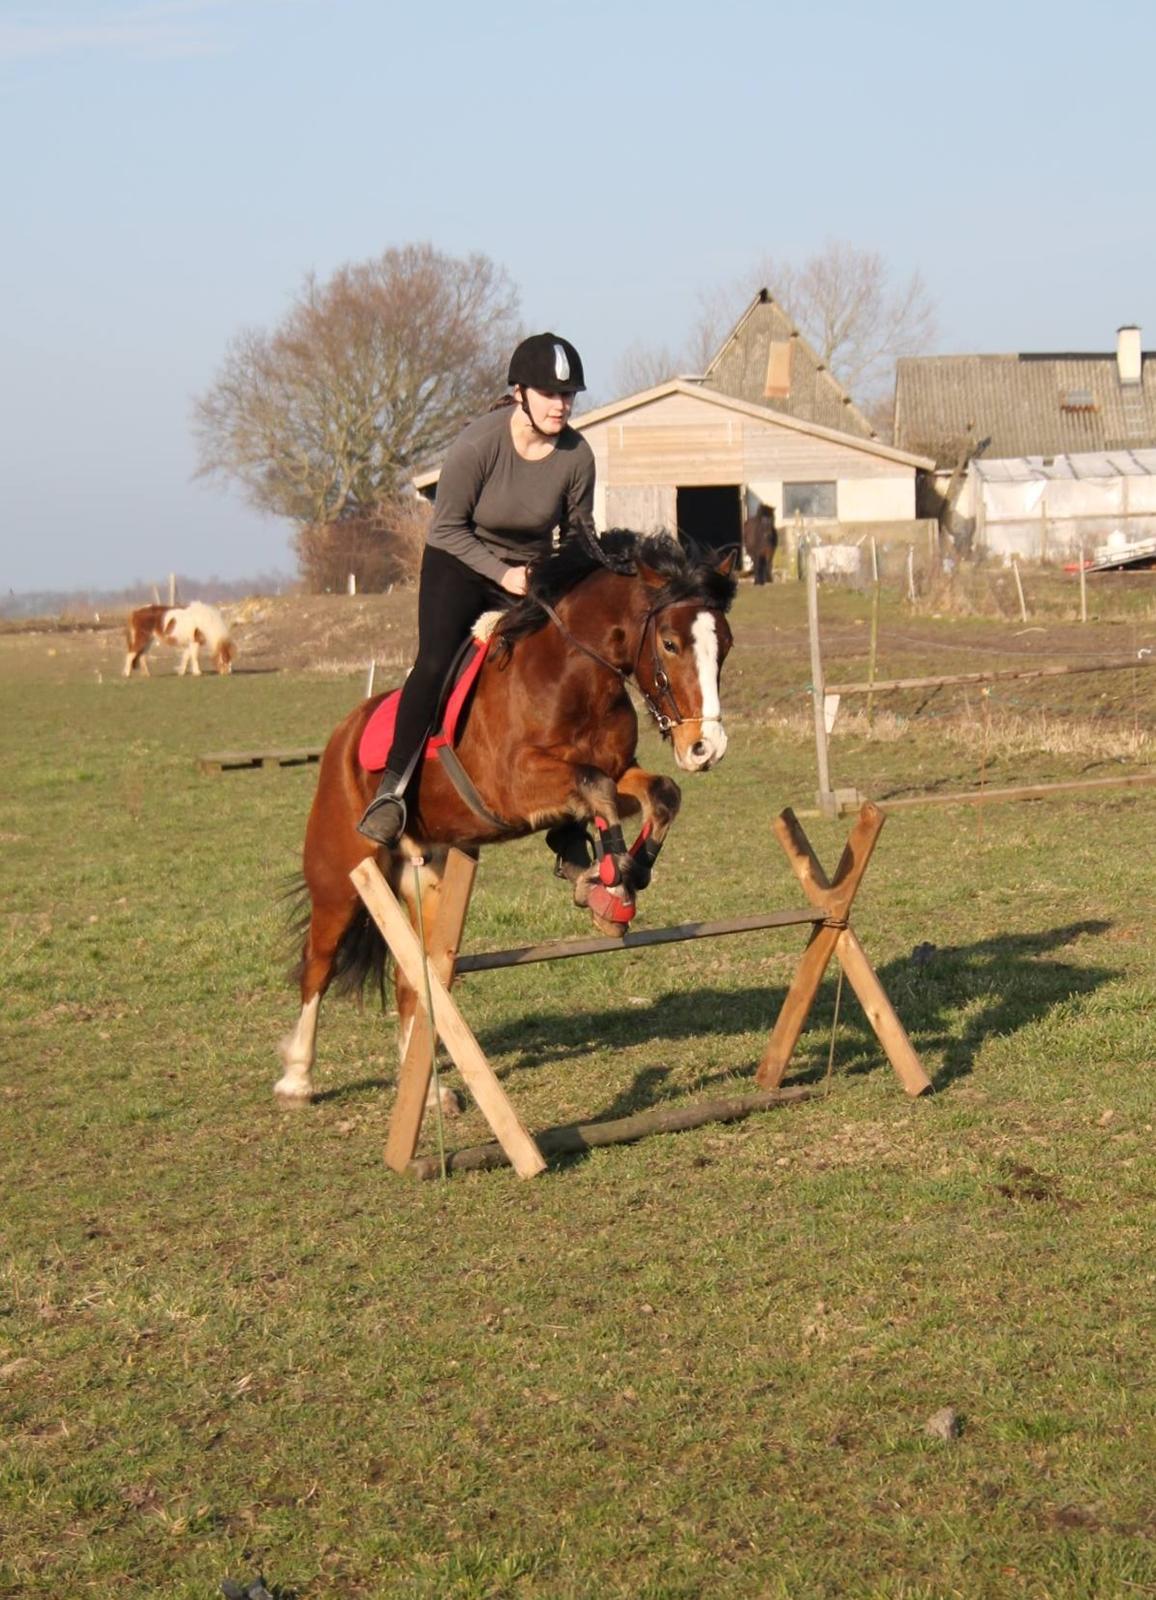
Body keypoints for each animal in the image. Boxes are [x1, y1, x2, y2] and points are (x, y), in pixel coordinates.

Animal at [275, 531, 733, 1107]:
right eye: (670, 644)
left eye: (726, 643)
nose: (706, 748)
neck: (573, 675)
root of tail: (344, 733)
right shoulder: (513, 784)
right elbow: (597, 789)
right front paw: (610, 884)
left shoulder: (617, 770)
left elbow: (653, 793)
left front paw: (616, 878)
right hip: (341, 876)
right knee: (318, 963)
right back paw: (297, 1078)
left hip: (427, 880)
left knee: (413, 979)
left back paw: (427, 1093)